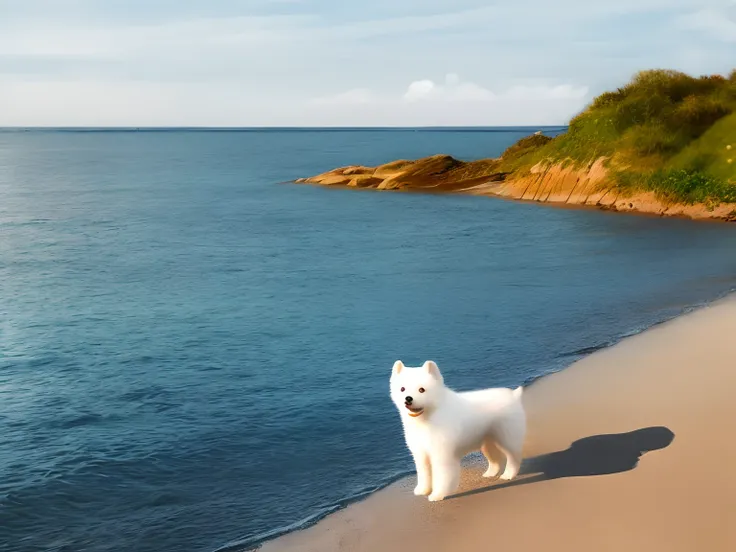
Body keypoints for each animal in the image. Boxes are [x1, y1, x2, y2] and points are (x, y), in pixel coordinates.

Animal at [388, 360, 528, 502]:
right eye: (402, 389)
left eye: (422, 389)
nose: (408, 398)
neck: (428, 418)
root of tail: (513, 395)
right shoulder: (420, 453)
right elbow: (424, 473)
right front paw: (422, 490)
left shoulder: (442, 454)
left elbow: (442, 476)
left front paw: (437, 495)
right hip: (487, 442)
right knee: (495, 459)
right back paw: (490, 473)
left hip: (507, 437)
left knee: (513, 457)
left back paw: (508, 475)